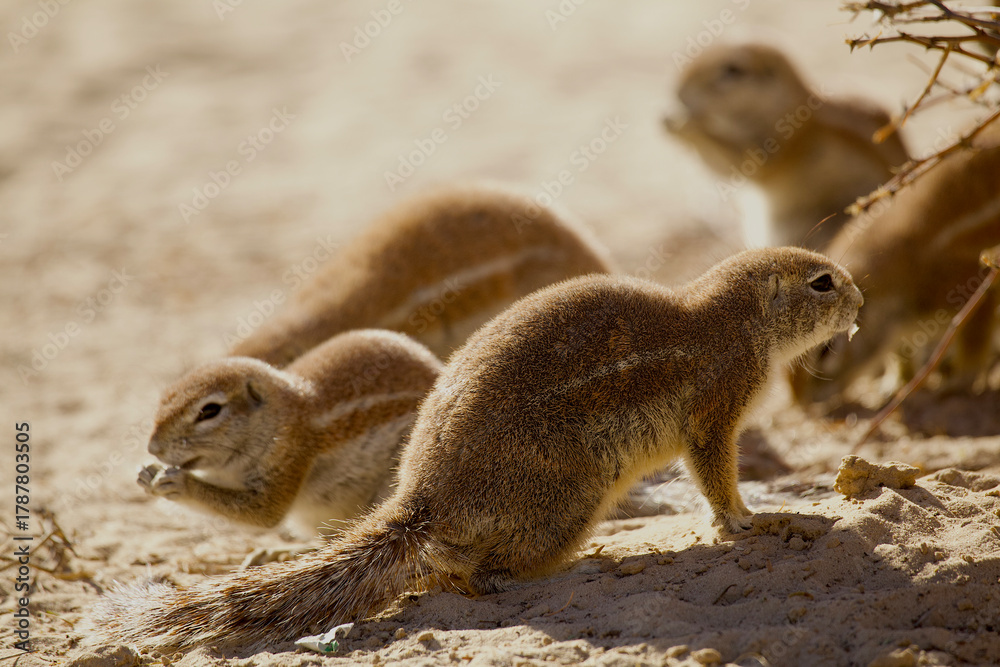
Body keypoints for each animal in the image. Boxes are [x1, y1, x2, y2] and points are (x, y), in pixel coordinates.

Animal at [139, 330, 441, 537]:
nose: (153, 448)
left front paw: (180, 484)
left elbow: (265, 512)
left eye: (209, 411)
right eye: (164, 396)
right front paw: (146, 473)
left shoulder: (288, 453)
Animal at [791, 121, 1000, 405]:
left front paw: (959, 380)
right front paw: (895, 385)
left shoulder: (969, 286)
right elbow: (901, 353)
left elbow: (974, 340)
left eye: (827, 350)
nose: (803, 405)